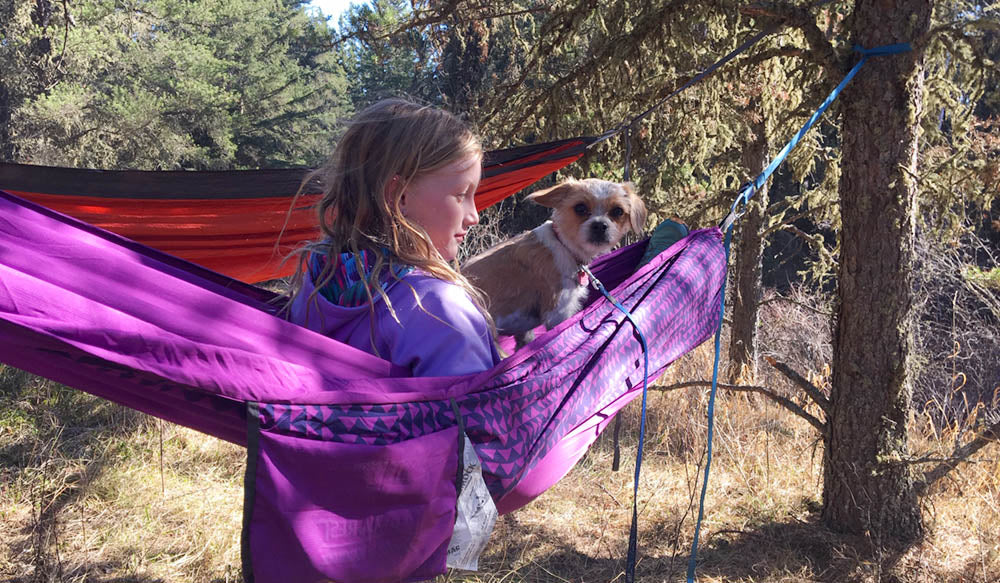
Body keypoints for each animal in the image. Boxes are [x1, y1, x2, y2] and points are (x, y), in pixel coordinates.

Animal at [462, 178, 644, 346]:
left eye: (618, 211)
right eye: (580, 208)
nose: (599, 225)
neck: (563, 244)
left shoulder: (526, 329)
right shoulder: (559, 312)